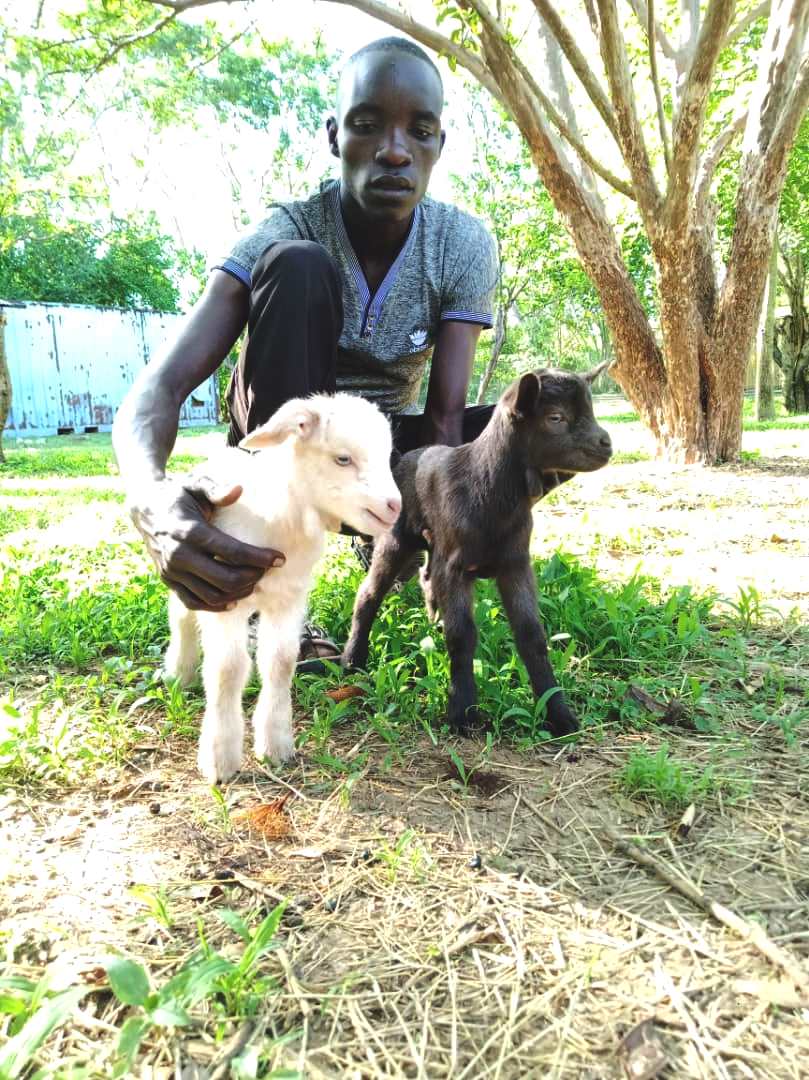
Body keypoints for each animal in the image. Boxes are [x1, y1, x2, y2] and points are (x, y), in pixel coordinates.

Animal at [163, 393, 401, 783]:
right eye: (343, 458)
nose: (394, 507)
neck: (280, 518)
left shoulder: (288, 598)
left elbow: (280, 662)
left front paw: (275, 744)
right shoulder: (225, 596)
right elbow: (228, 669)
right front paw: (220, 758)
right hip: (194, 578)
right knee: (181, 618)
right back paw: (179, 673)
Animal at [342, 367, 612, 739]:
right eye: (556, 417)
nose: (606, 444)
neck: (489, 490)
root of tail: (402, 458)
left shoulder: (515, 564)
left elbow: (531, 634)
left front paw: (558, 712)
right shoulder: (456, 567)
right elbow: (462, 635)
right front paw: (463, 711)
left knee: (427, 577)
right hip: (396, 539)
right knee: (369, 593)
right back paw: (353, 660)